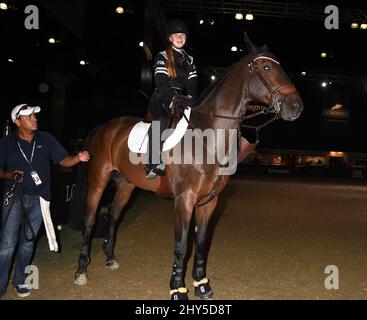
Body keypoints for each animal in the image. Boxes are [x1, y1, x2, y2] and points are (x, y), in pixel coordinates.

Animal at [72, 38, 304, 300]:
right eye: (266, 67)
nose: (296, 106)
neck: (208, 138)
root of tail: (105, 127)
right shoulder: (184, 200)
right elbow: (182, 245)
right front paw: (178, 288)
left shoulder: (209, 202)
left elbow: (201, 242)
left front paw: (202, 285)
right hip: (99, 180)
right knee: (91, 219)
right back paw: (81, 270)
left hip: (125, 185)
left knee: (113, 216)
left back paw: (110, 258)